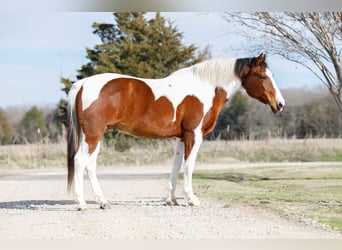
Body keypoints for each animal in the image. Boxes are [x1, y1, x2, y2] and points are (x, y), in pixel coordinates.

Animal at [67, 53, 286, 210]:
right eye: (262, 76)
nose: (280, 104)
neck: (205, 87)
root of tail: (82, 84)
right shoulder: (193, 135)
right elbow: (189, 167)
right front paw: (192, 199)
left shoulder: (181, 138)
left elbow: (176, 166)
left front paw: (171, 199)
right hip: (93, 135)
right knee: (80, 161)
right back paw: (82, 203)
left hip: (94, 136)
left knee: (89, 164)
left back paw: (102, 201)